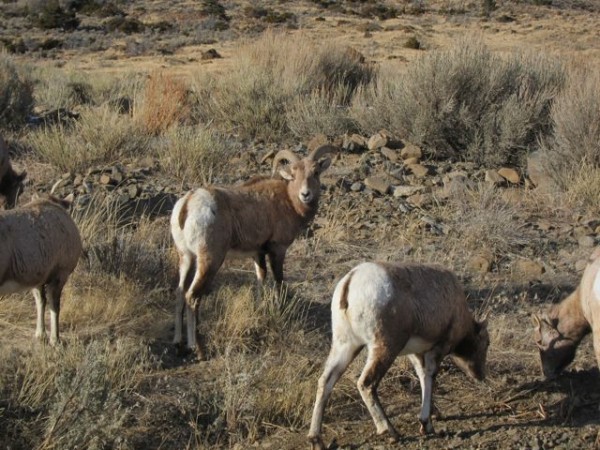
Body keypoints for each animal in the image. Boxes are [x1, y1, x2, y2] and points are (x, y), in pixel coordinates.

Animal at [0, 193, 82, 344]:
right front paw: (55, 340)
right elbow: (54, 307)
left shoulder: (37, 279)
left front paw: (40, 335)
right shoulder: (59, 276)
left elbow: (41, 302)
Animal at [170, 144, 338, 356]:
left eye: (315, 172)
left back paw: (177, 343)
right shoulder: (277, 250)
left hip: (186, 258)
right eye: (293, 174)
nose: (305, 195)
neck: (289, 201)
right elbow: (278, 282)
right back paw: (198, 349)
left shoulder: (257, 254)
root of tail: (188, 204)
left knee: (179, 293)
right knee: (192, 297)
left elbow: (261, 280)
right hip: (209, 261)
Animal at [308, 262, 490, 448]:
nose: (480, 375)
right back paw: (390, 432)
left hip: (346, 345)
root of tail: (350, 281)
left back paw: (316, 439)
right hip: (384, 348)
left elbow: (422, 376)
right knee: (366, 383)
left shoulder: (414, 354)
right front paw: (426, 424)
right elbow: (430, 376)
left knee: (325, 381)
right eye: (486, 343)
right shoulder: (436, 349)